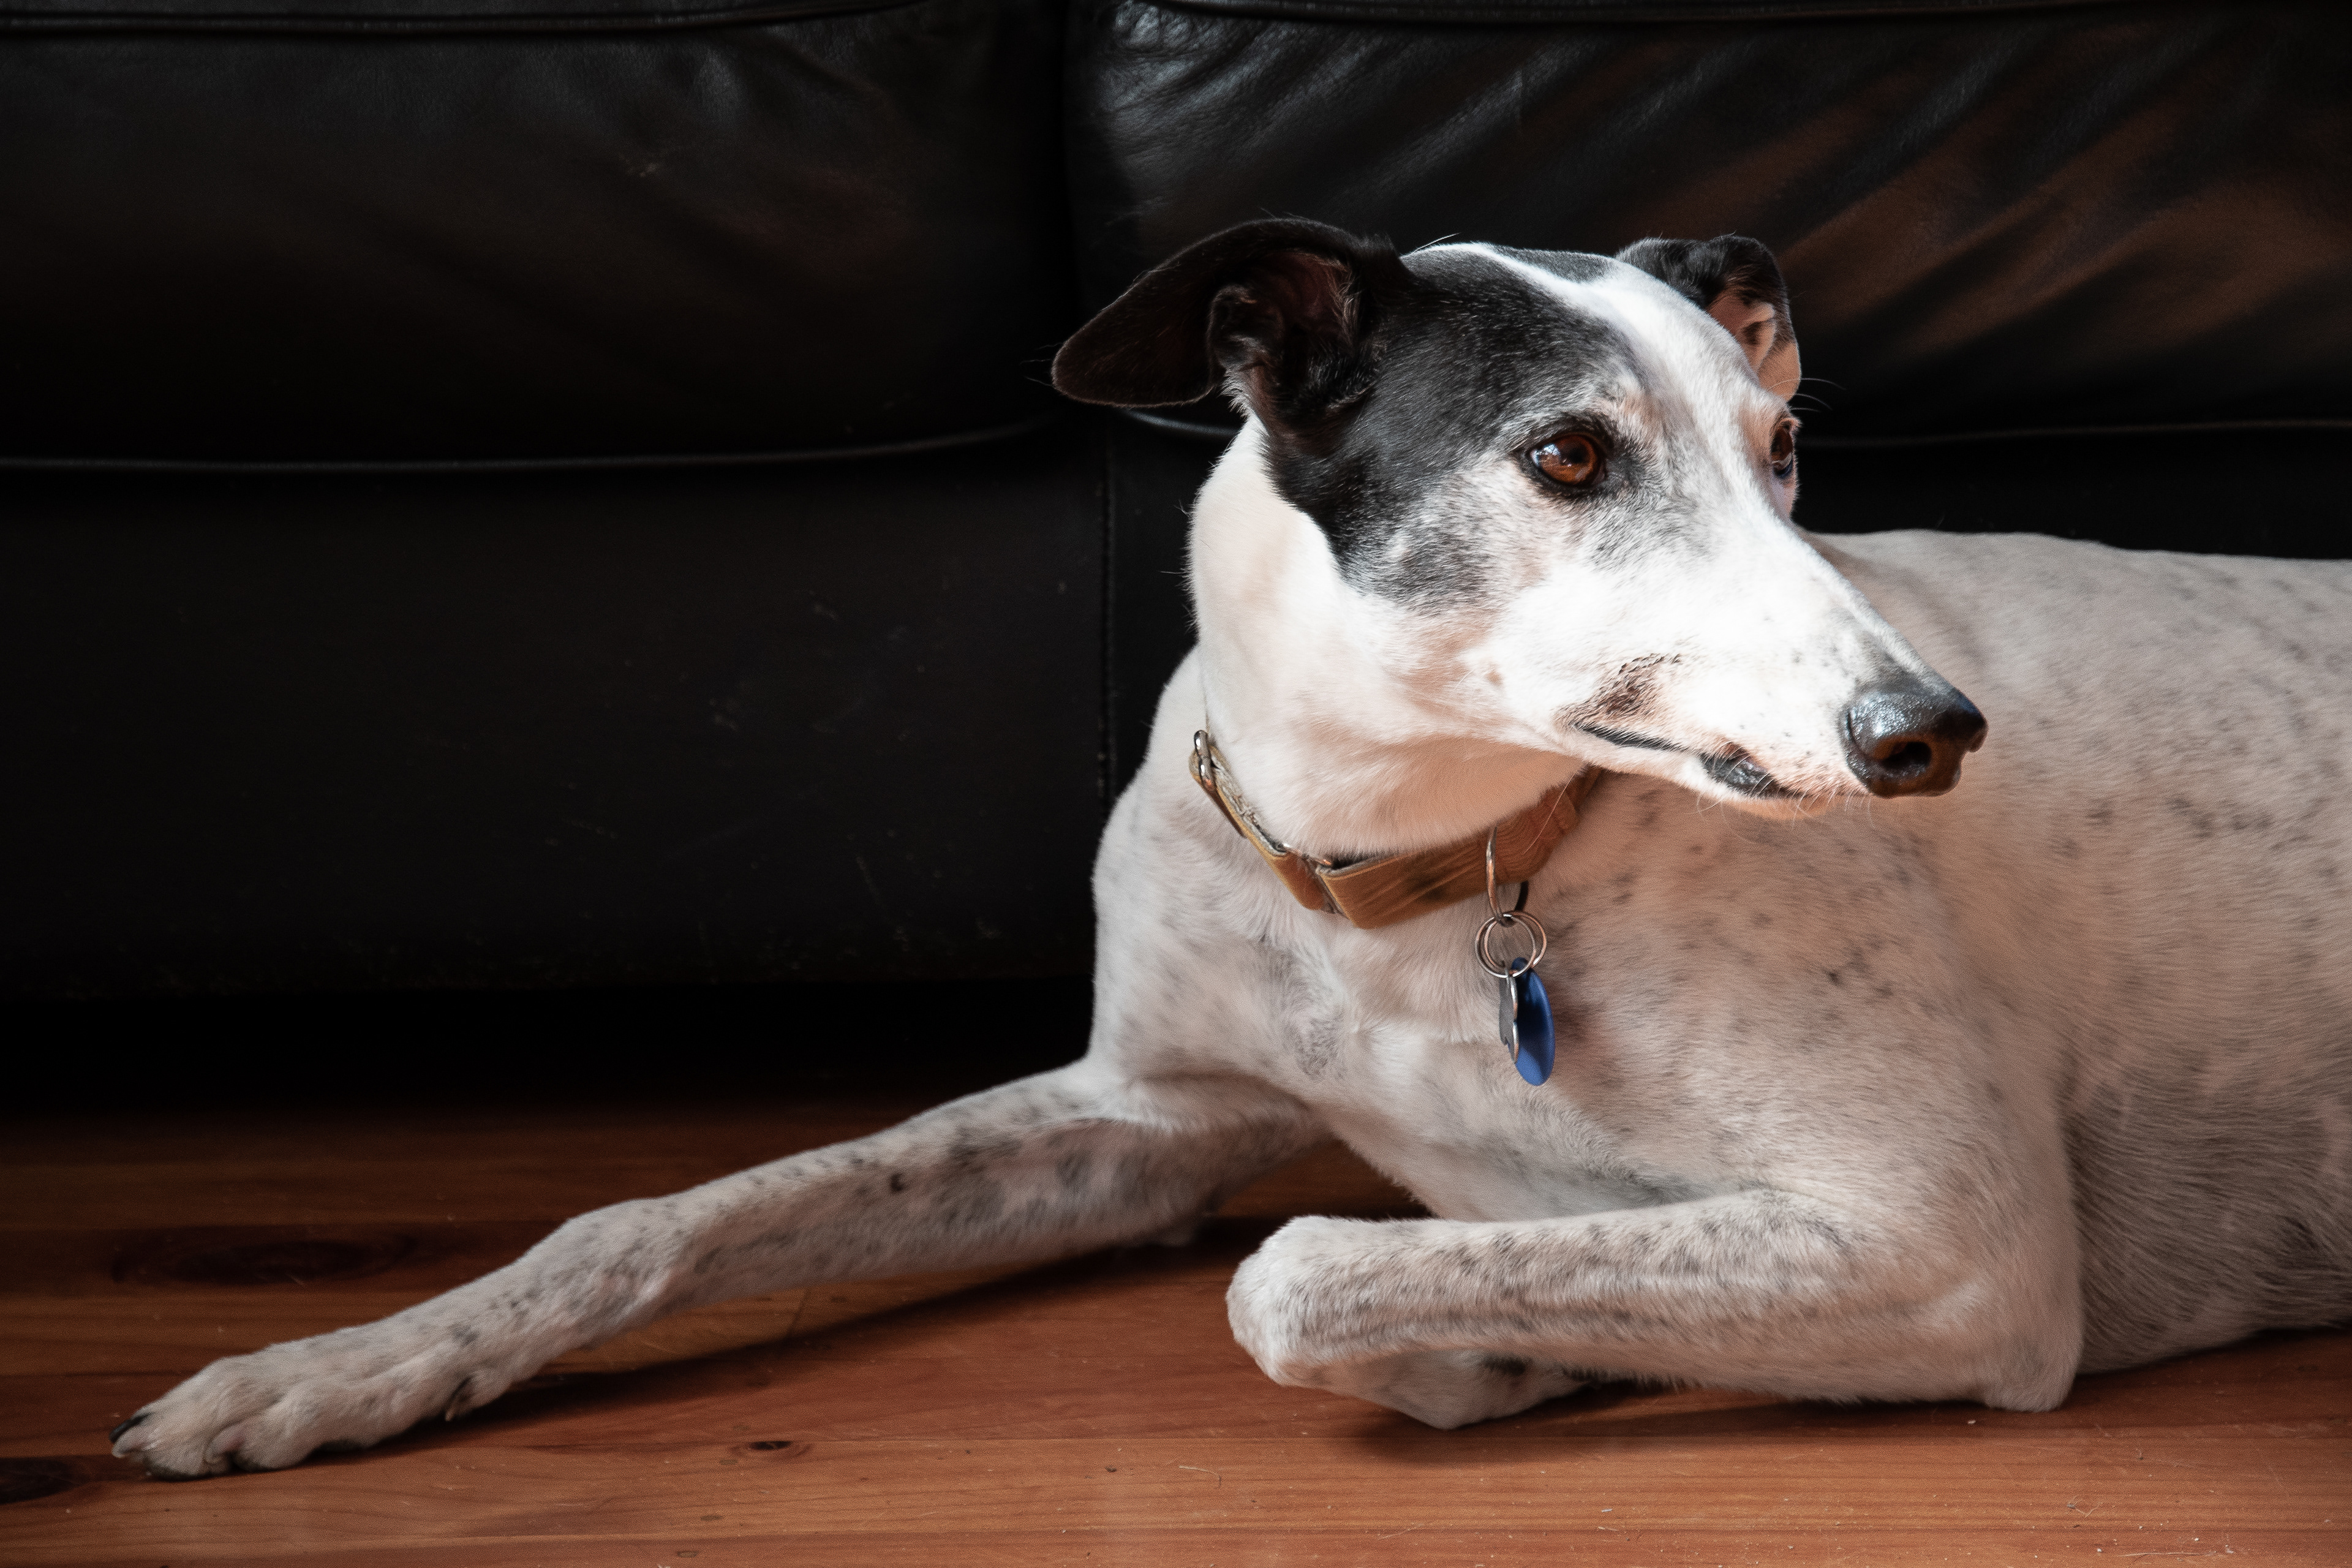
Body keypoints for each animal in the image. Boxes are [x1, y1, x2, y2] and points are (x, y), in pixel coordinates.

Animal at [111, 219, 2352, 1476]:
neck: (1410, 878)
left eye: (1785, 452)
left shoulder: (1953, 1237)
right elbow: (649, 1218)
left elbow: (1298, 1274)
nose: (1928, 736)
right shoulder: (1143, 1111)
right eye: (1567, 453)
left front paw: (1497, 1338)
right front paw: (324, 1373)